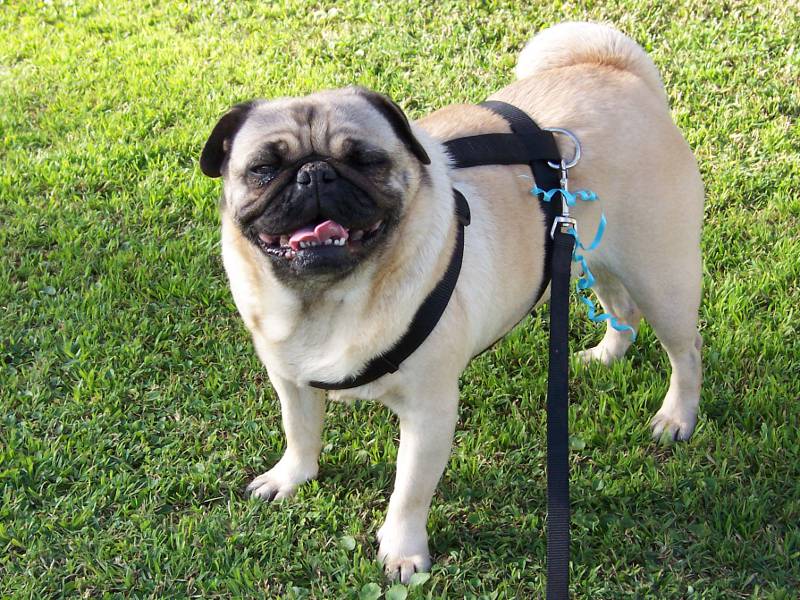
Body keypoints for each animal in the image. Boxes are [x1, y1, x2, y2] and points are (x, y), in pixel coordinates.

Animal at [199, 22, 703, 582]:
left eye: (366, 161)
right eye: (264, 169)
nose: (315, 174)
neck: (326, 300)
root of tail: (618, 72)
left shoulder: (429, 412)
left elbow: (409, 492)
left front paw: (402, 552)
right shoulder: (291, 380)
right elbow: (300, 432)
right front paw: (292, 477)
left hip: (660, 275)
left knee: (685, 351)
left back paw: (676, 417)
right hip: (593, 254)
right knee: (621, 309)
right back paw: (606, 355)